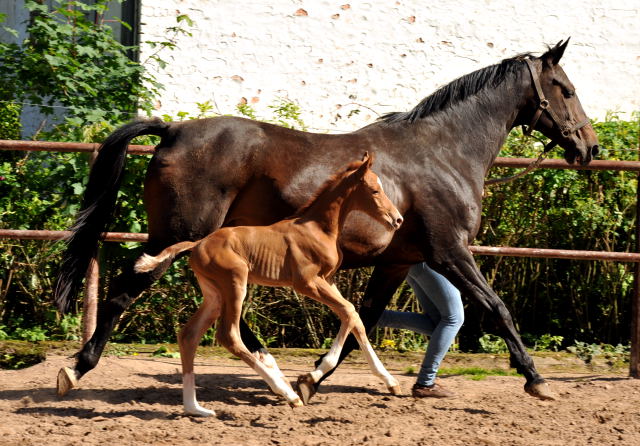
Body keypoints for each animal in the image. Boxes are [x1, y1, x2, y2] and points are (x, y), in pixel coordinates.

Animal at [129, 155, 400, 416]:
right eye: (375, 190)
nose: (397, 219)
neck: (318, 229)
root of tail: (197, 244)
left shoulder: (328, 280)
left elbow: (354, 317)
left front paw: (389, 381)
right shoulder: (306, 283)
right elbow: (348, 311)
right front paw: (309, 379)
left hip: (214, 294)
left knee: (189, 335)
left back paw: (195, 408)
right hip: (235, 282)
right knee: (229, 335)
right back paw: (286, 393)